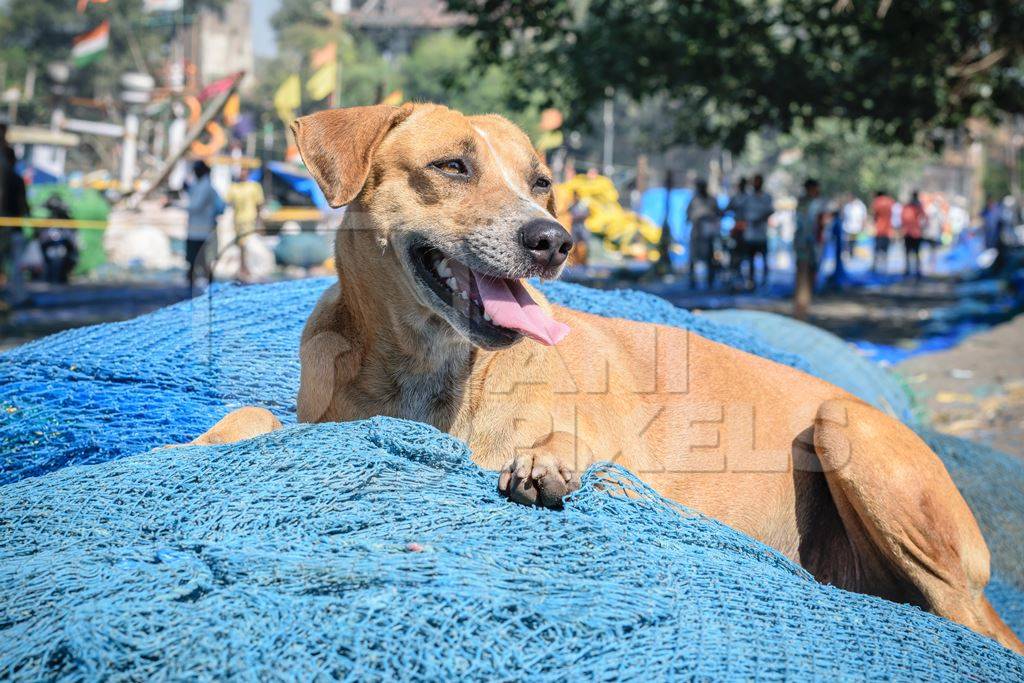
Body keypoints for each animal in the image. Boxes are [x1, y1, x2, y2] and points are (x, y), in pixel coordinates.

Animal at [193, 104, 1024, 655]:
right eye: (452, 165)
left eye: (541, 180)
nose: (552, 238)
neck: (429, 372)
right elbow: (253, 417)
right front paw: (201, 441)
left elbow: (568, 438)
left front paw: (546, 459)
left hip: (849, 433)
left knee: (973, 621)